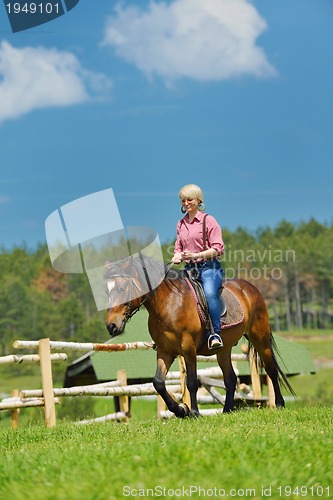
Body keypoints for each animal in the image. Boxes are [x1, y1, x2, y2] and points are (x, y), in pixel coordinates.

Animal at [104, 256, 294, 416]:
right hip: (224, 349)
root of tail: (250, 288)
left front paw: (194, 412)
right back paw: (226, 410)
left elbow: (192, 382)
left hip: (260, 337)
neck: (169, 303)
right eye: (107, 291)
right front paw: (180, 410)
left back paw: (279, 404)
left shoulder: (188, 348)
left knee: (271, 369)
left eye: (122, 288)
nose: (111, 326)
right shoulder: (165, 351)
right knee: (230, 378)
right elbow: (158, 382)